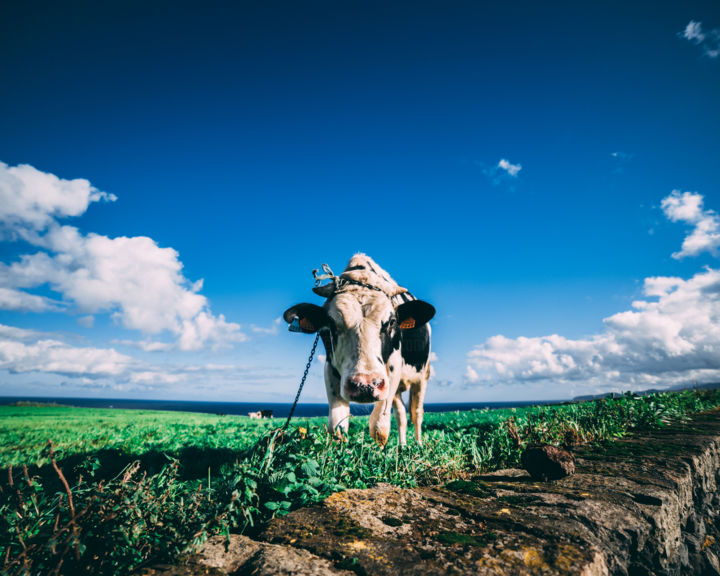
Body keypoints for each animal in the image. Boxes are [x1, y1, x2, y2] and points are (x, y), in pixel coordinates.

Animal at [284, 254, 436, 448]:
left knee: (416, 412)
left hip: (422, 374)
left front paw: (380, 451)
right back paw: (402, 446)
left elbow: (379, 427)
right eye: (331, 324)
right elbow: (337, 426)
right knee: (401, 414)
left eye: (391, 322)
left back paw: (418, 444)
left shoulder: (393, 369)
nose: (365, 385)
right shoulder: (330, 369)